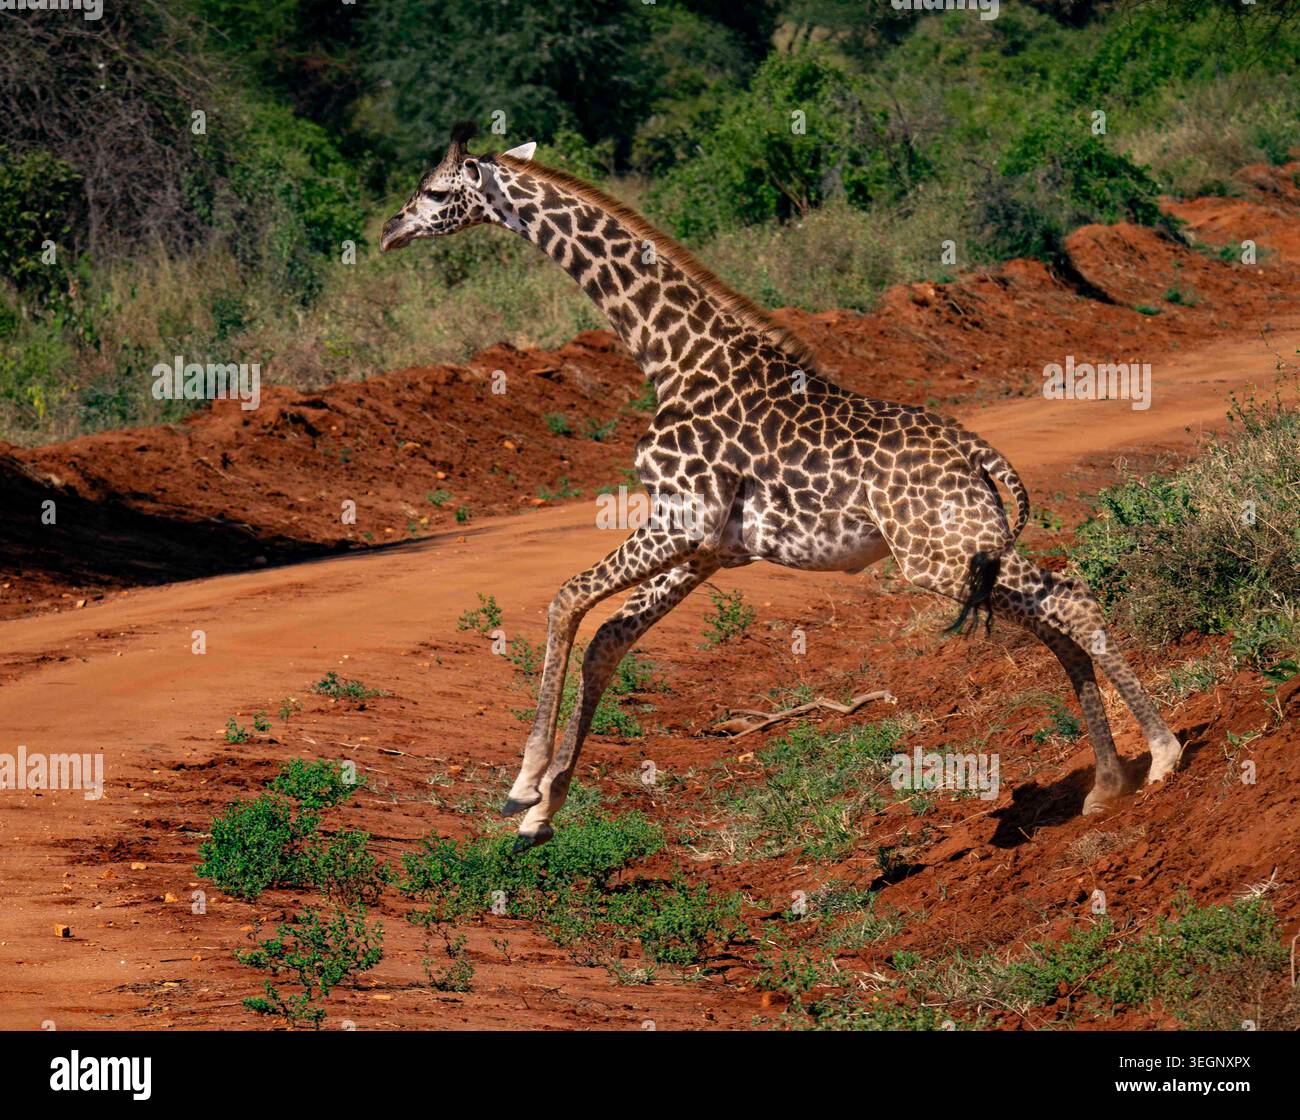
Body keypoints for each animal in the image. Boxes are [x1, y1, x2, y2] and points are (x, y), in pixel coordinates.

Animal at [381, 122, 1183, 848]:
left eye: (436, 190)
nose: (388, 230)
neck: (671, 356)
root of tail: (981, 454)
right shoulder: (708, 548)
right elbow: (606, 637)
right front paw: (542, 815)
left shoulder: (680, 519)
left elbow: (564, 601)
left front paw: (522, 786)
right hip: (963, 552)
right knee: (1055, 618)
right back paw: (1107, 784)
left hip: (941, 556)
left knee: (1072, 598)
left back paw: (1165, 756)